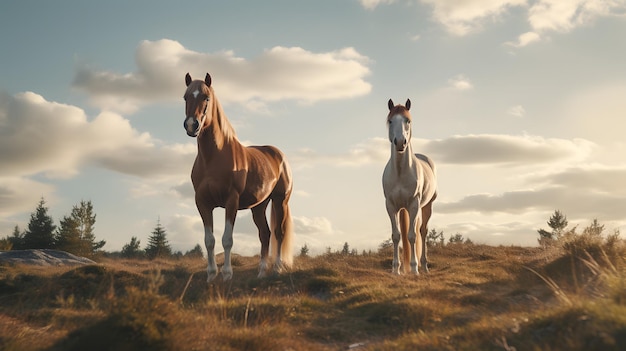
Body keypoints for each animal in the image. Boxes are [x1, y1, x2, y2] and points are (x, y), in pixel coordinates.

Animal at [183, 73, 294, 282]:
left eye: (206, 98)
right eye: (185, 97)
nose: (192, 125)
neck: (214, 157)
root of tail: (280, 156)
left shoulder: (231, 201)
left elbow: (227, 239)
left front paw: (227, 275)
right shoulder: (202, 202)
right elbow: (209, 240)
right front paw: (211, 276)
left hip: (279, 201)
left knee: (278, 233)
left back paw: (277, 268)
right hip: (259, 206)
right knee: (265, 234)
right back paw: (261, 273)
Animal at [380, 98, 434, 276]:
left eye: (408, 121)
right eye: (390, 121)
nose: (400, 142)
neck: (400, 172)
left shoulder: (414, 204)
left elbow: (412, 236)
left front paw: (414, 269)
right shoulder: (391, 206)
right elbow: (396, 236)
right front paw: (395, 270)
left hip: (426, 206)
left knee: (422, 232)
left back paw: (424, 267)